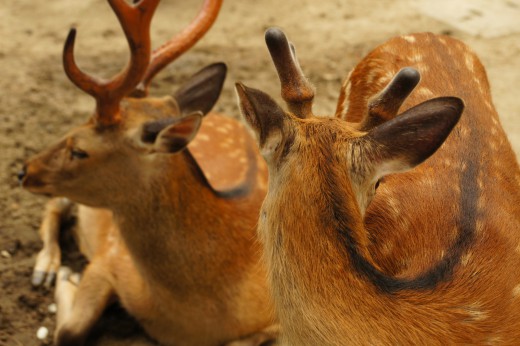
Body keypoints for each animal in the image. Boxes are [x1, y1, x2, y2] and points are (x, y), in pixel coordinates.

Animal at [18, 0, 278, 346]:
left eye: (80, 149)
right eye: (74, 128)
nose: (24, 170)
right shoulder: (109, 258)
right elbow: (70, 331)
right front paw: (66, 276)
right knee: (54, 205)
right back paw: (46, 268)